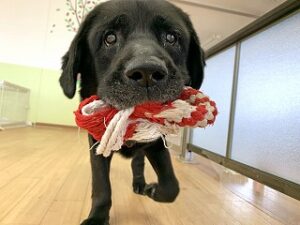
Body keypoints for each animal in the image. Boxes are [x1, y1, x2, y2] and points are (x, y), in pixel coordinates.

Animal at [59, 0, 205, 224]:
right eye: (109, 38)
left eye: (171, 37)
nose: (147, 72)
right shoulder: (97, 145)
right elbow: (101, 186)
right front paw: (97, 217)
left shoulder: (156, 143)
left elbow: (171, 185)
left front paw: (154, 191)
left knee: (138, 163)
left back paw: (140, 183)